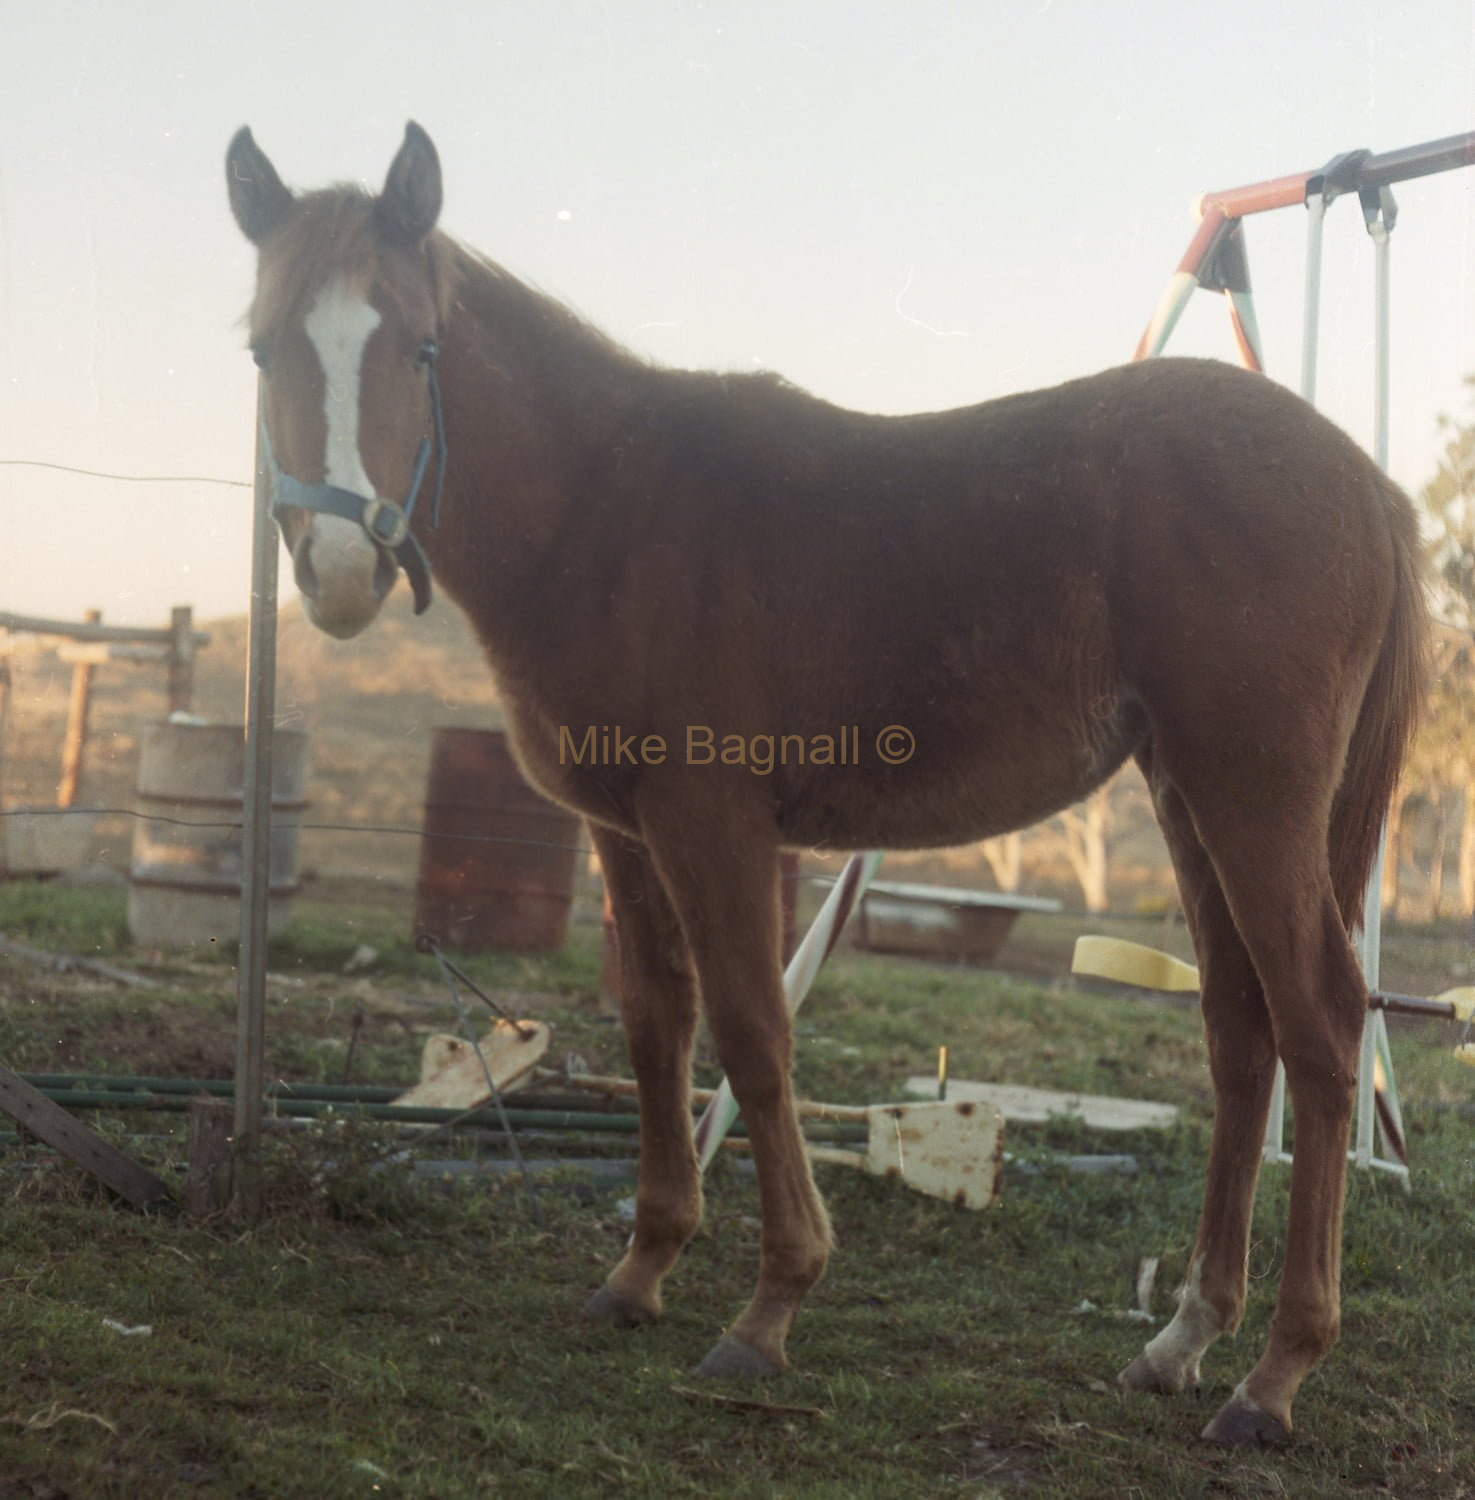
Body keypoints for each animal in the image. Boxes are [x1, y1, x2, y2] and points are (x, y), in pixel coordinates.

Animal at [228, 126, 1428, 1440]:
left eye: (419, 345)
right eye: (263, 345)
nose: (342, 572)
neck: (610, 513)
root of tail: (1361, 482)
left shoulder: (715, 829)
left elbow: (754, 1035)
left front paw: (768, 1310)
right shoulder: (627, 835)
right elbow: (657, 1026)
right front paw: (640, 1272)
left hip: (1254, 801)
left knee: (1319, 1025)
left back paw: (1273, 1377)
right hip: (1188, 800)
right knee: (1239, 1033)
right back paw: (1181, 1339)